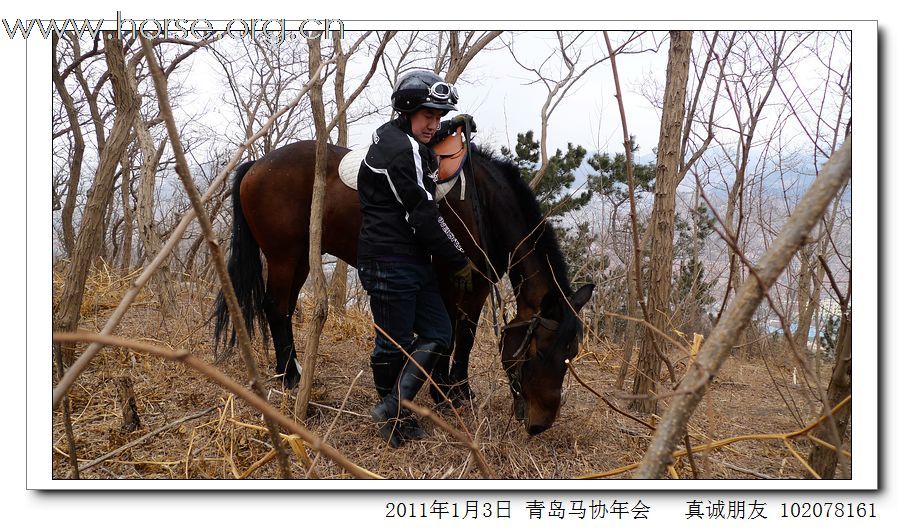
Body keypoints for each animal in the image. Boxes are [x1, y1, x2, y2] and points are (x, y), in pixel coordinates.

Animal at [212, 138, 592, 432]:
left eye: (571, 353)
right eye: (540, 352)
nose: (541, 423)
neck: (482, 202)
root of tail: (258, 164)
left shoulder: (479, 285)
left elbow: (466, 336)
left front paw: (460, 391)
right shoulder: (450, 280)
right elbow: (450, 335)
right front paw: (443, 393)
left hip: (302, 258)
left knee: (285, 309)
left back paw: (290, 371)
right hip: (284, 257)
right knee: (275, 308)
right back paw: (289, 377)